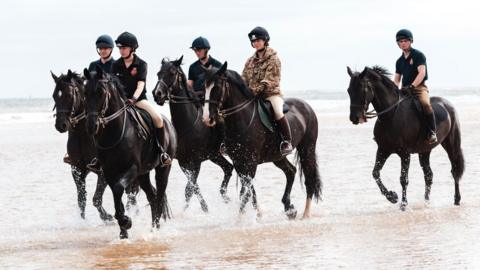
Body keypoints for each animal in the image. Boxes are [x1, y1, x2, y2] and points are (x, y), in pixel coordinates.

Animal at [51, 69, 114, 221]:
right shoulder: (77, 169)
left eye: (68, 95)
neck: (83, 134)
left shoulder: (103, 171)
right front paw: (83, 221)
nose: (60, 125)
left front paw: (107, 217)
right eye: (54, 96)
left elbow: (96, 199)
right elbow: (81, 199)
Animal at [83, 66, 176, 238]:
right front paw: (123, 231)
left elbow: (119, 189)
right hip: (143, 173)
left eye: (101, 92)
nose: (91, 126)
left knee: (159, 195)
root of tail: (168, 123)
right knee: (152, 196)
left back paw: (156, 230)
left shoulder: (131, 169)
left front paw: (126, 221)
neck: (115, 133)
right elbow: (116, 196)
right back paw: (153, 228)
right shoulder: (109, 172)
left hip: (163, 168)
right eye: (85, 92)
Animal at [152, 56, 234, 213]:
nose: (157, 94)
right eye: (158, 73)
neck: (187, 125)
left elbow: (190, 188)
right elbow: (192, 187)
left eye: (172, 73)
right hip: (214, 155)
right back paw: (225, 197)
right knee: (228, 168)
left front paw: (198, 209)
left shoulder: (196, 162)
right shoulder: (183, 163)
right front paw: (200, 208)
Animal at [202, 62, 322, 218]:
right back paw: (289, 208)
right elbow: (249, 190)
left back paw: (305, 214)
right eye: (204, 87)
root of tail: (306, 106)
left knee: (309, 179)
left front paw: (240, 219)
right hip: (277, 156)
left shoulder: (251, 163)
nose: (207, 119)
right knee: (291, 171)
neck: (242, 119)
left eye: (217, 87)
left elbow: (245, 192)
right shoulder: (239, 162)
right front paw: (257, 213)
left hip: (307, 149)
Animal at [346, 65, 464, 209]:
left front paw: (403, 204)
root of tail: (447, 105)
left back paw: (457, 199)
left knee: (455, 170)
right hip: (425, 151)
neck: (391, 115)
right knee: (428, 174)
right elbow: (375, 173)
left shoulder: (405, 153)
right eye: (349, 91)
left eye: (362, 88)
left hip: (451, 145)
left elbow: (403, 179)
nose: (354, 118)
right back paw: (426, 201)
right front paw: (392, 197)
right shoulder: (383, 149)